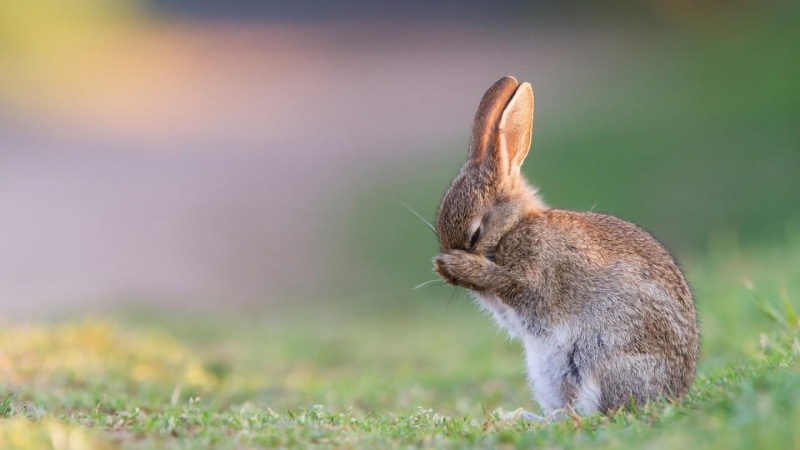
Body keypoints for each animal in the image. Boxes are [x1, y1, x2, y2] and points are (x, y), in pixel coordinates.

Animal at [433, 76, 698, 416]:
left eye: (475, 234)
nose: (447, 269)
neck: (513, 226)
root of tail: (672, 394)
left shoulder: (535, 276)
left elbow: (513, 285)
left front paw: (457, 266)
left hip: (597, 359)